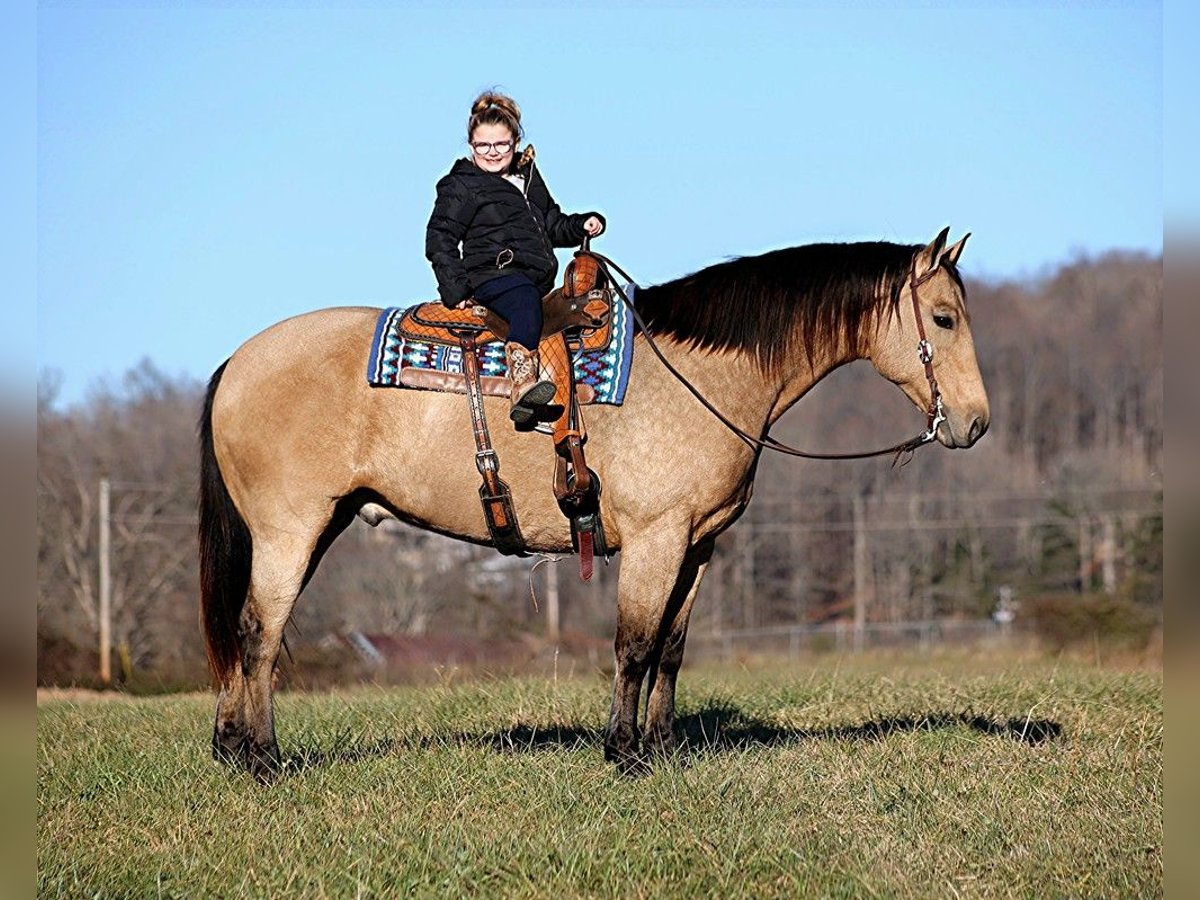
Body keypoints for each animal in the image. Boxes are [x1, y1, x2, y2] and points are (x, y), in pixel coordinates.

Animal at [201, 226, 988, 782]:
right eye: (944, 318)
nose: (976, 423)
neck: (702, 374)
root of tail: (237, 360)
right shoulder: (655, 539)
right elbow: (634, 644)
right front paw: (624, 753)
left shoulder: (698, 544)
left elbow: (671, 649)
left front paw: (663, 747)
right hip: (290, 531)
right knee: (259, 632)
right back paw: (262, 760)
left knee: (248, 636)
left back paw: (231, 748)